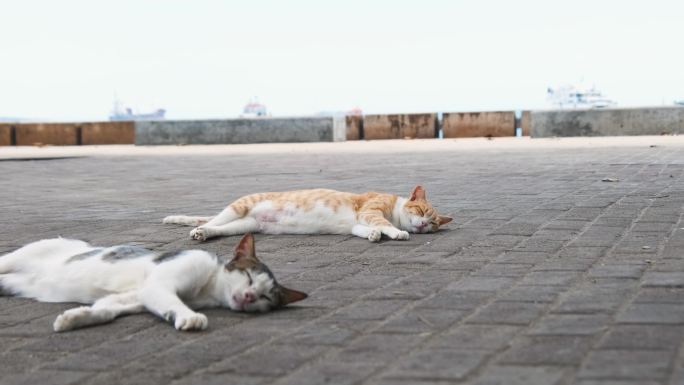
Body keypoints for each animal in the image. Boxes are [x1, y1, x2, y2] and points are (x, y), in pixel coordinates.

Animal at [0, 232, 306, 332]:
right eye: (249, 276)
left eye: (266, 297)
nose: (250, 297)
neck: (206, 290)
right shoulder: (160, 285)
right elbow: (175, 302)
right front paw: (189, 317)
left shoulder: (136, 297)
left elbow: (105, 310)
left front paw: (75, 318)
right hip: (17, 257)